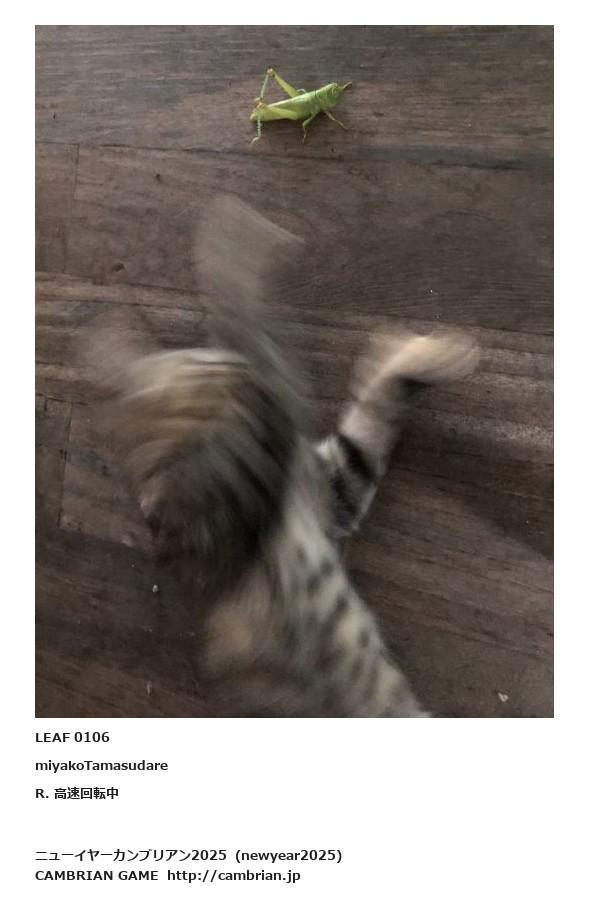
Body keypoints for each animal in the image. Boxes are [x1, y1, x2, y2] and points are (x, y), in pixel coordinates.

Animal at [91, 195, 480, 716]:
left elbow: (364, 418)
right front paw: (235, 245)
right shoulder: (271, 463)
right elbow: (256, 336)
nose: (231, 374)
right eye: (203, 369)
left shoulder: (318, 483)